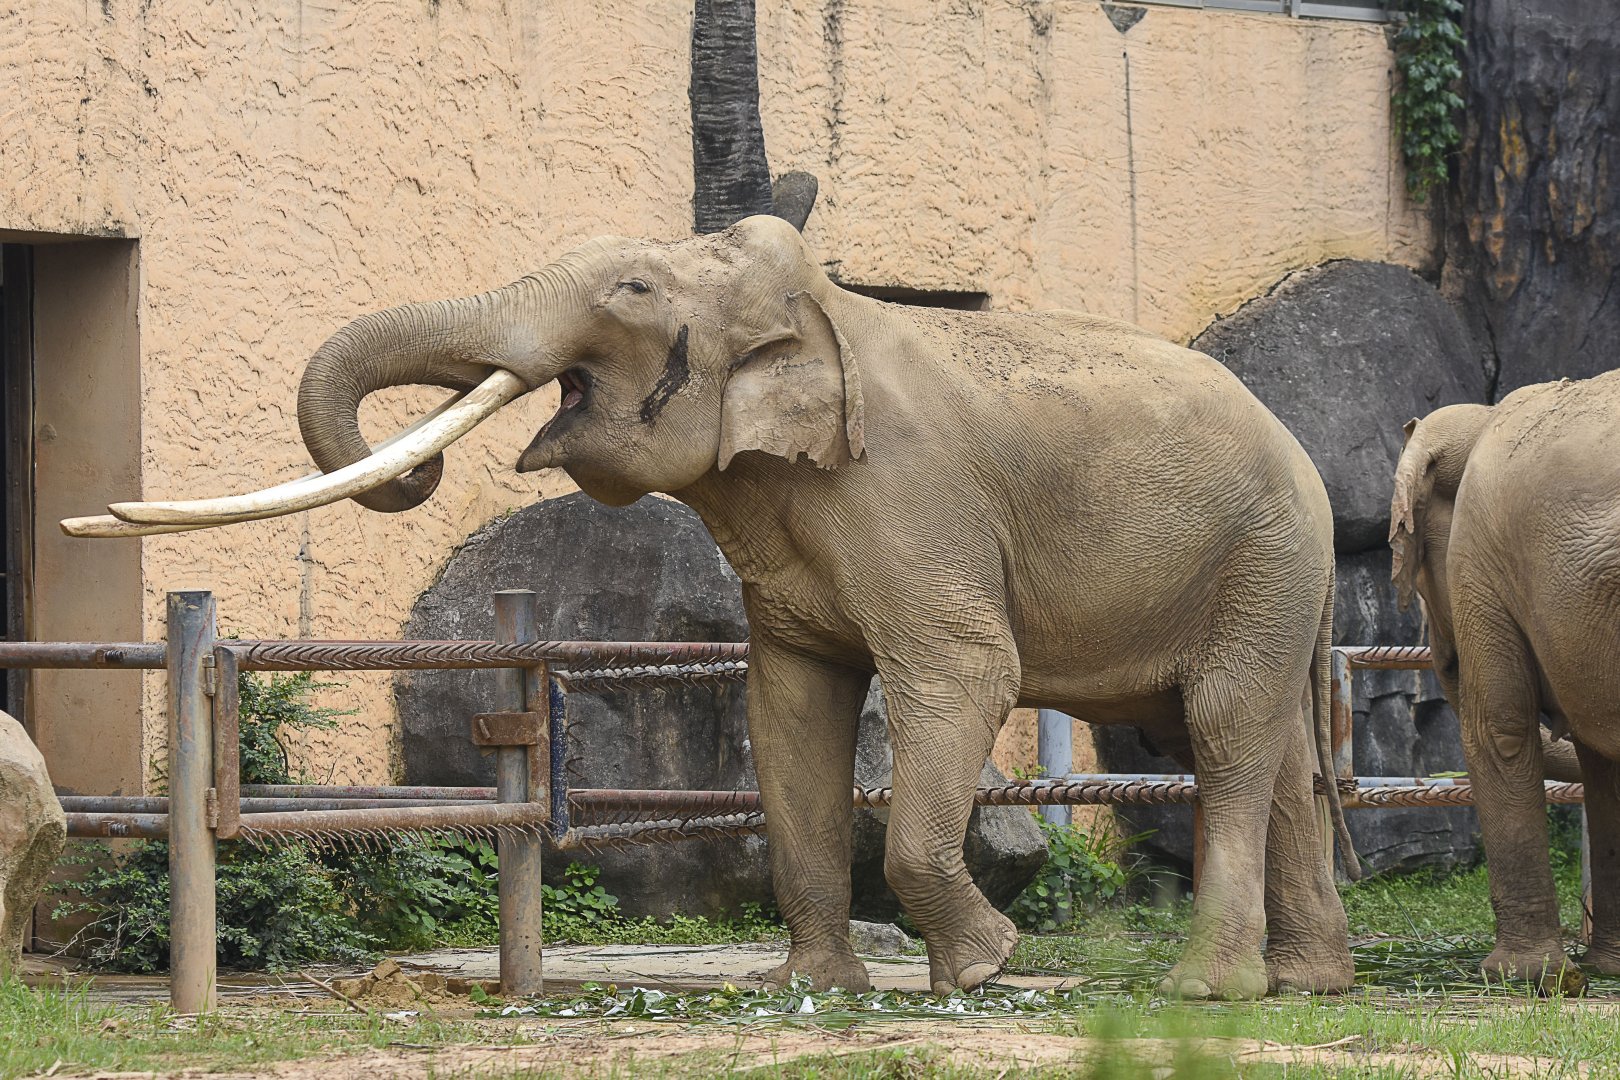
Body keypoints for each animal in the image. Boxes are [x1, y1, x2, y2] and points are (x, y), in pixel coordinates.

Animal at [92, 216, 1356, 999]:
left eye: (631, 290)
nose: (425, 469)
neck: (816, 303)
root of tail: (1308, 455)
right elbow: (790, 708)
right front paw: (812, 992)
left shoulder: (909, 494)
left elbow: (961, 672)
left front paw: (984, 969)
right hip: (1264, 572)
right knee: (1274, 749)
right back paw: (1305, 984)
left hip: (1264, 556)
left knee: (1224, 736)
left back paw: (1209, 990)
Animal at [1390, 369, 1620, 993]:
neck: (1483, 416)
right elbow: (1602, 763)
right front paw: (1601, 970)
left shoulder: (1480, 552)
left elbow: (1500, 728)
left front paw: (1525, 977)